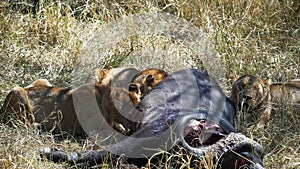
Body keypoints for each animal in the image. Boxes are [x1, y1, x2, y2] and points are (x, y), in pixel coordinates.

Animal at [0, 78, 141, 135]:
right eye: (130, 109)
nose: (138, 122)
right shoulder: (90, 130)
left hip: (42, 80)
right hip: (17, 90)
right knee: (24, 122)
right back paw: (39, 126)